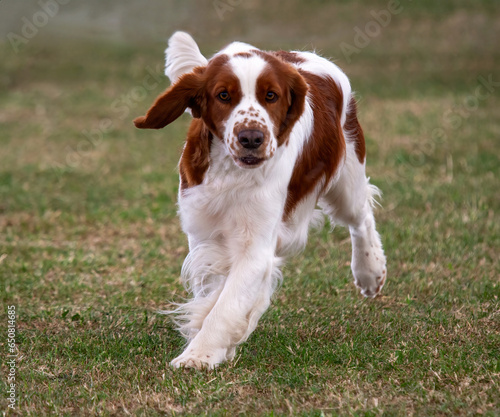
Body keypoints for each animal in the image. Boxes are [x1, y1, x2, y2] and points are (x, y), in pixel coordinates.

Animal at [134, 32, 386, 368]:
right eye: (223, 95)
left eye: (271, 95)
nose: (251, 138)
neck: (231, 171)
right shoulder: (203, 232)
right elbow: (215, 291)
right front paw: (218, 342)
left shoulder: (255, 246)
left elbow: (226, 304)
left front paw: (199, 355)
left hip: (347, 179)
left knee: (361, 216)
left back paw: (370, 271)